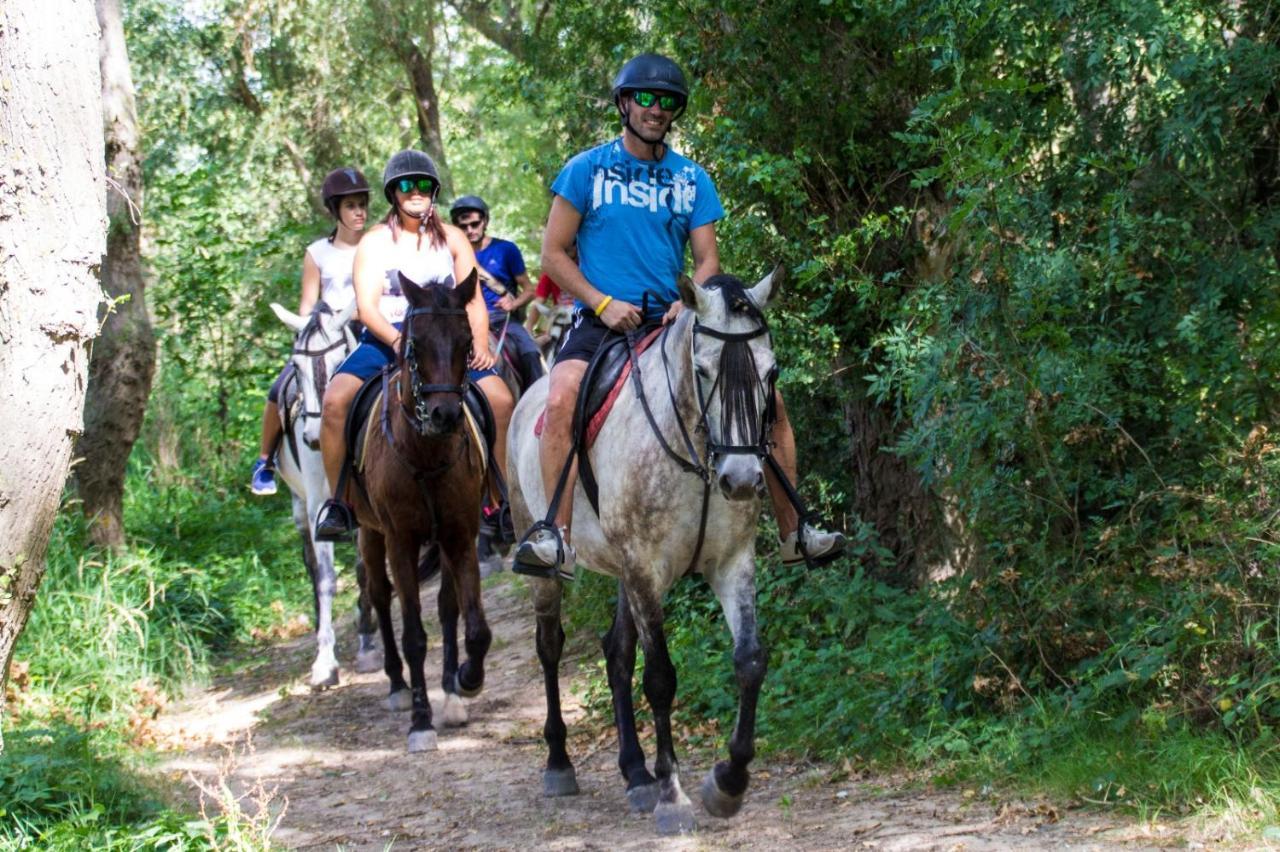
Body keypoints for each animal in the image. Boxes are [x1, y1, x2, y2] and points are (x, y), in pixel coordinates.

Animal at [348, 269, 491, 752]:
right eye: (415, 345)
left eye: (466, 342)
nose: (446, 414)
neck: (426, 453)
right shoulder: (401, 541)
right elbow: (413, 635)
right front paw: (420, 721)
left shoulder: (460, 535)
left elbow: (473, 625)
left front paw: (465, 681)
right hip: (369, 533)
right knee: (378, 593)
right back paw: (396, 686)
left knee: (447, 607)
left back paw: (451, 691)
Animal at [506, 267, 778, 828]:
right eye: (703, 369)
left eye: (771, 371)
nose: (741, 480)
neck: (697, 457)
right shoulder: (645, 568)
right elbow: (659, 678)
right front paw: (672, 795)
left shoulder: (731, 563)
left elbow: (749, 661)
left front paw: (728, 781)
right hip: (553, 561)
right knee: (549, 646)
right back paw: (560, 764)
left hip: (620, 572)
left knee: (616, 651)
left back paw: (634, 772)